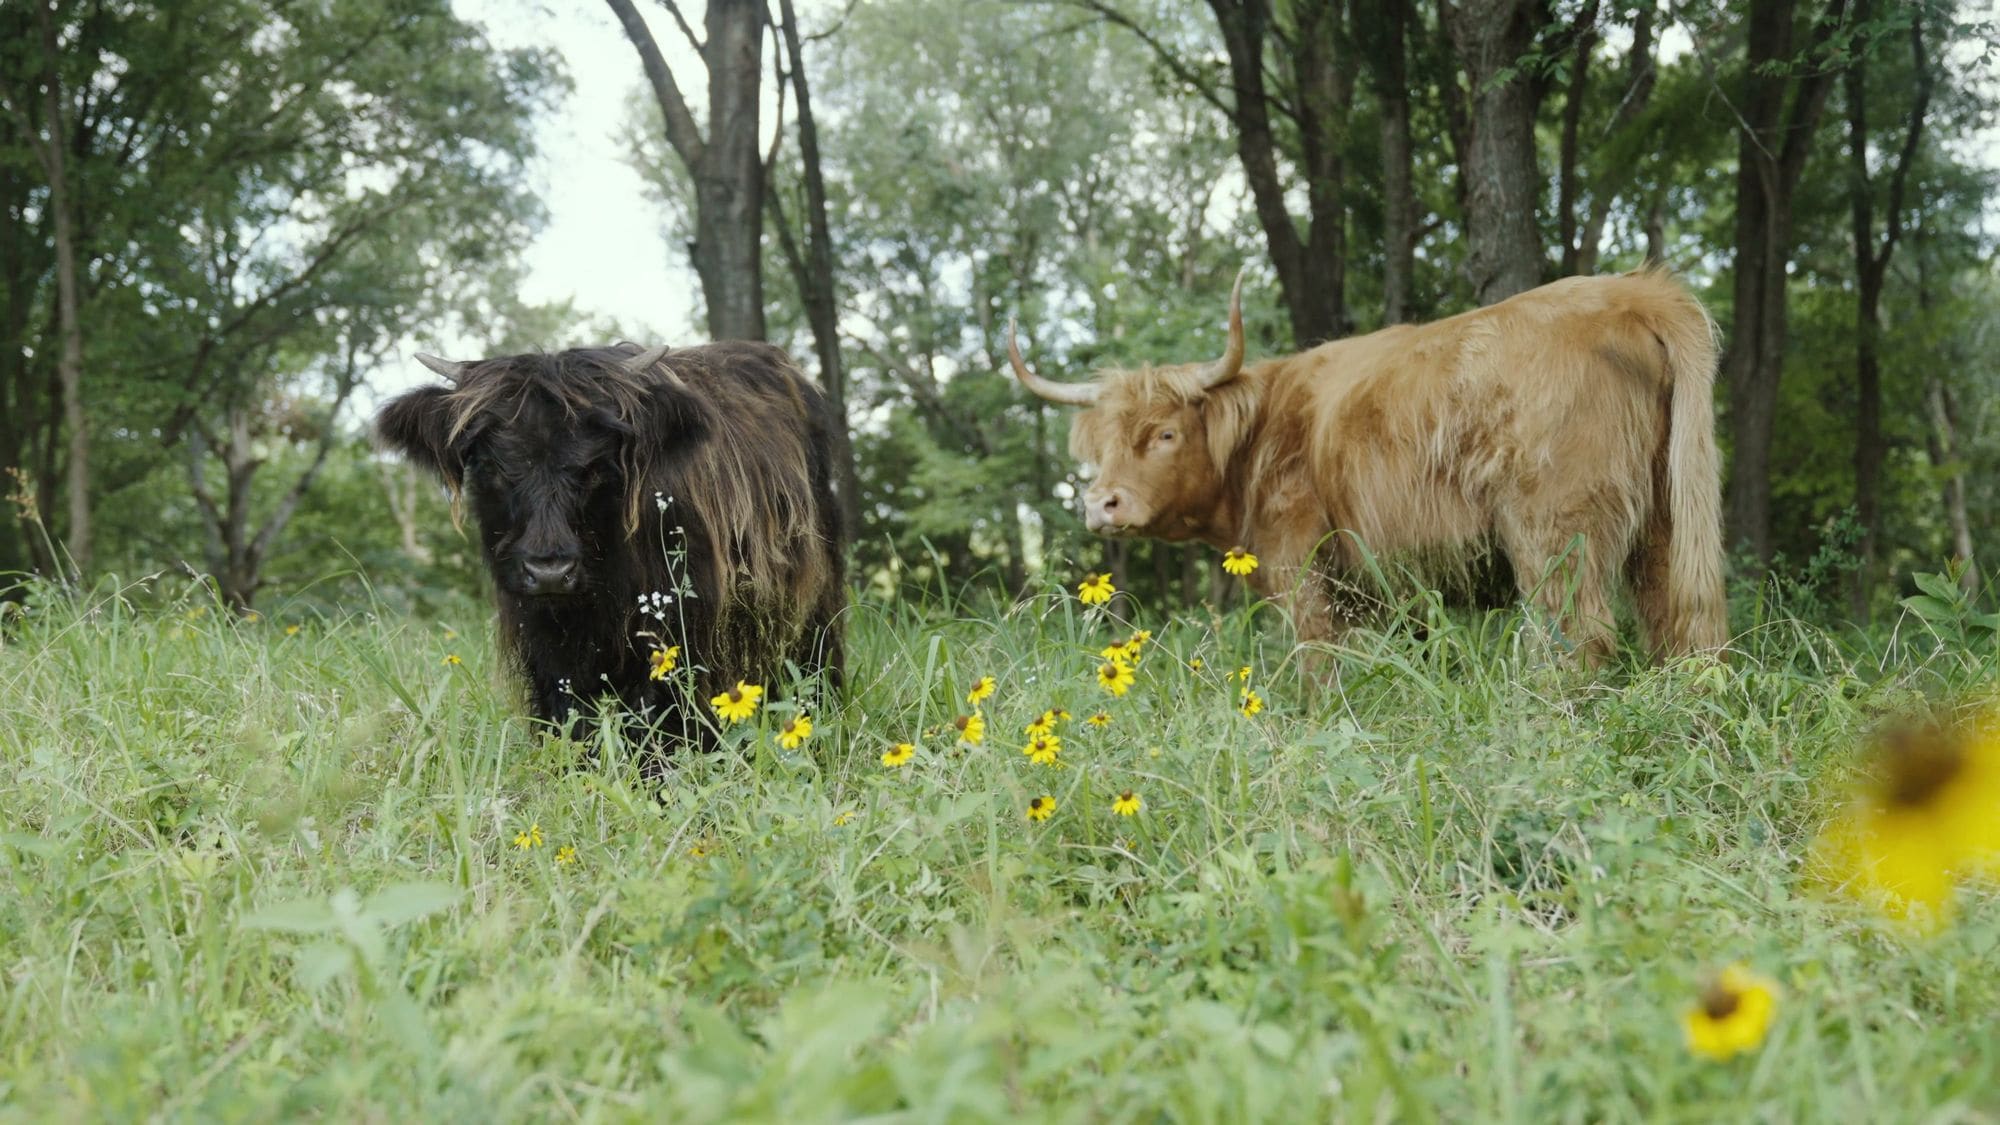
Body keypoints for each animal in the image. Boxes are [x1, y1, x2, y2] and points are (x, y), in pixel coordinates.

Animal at [376, 341, 848, 751]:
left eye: (597, 466)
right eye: (492, 466)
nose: (550, 572)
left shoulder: (677, 630)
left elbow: (658, 715)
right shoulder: (538, 636)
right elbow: (566, 713)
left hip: (816, 598)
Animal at [1007, 268, 1727, 665]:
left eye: (1163, 433)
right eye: (1099, 446)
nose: (1101, 504)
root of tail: (1633, 293)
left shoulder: (1301, 571)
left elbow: (1317, 665)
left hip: (1553, 526)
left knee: (1576, 637)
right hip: (1664, 519)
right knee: (1681, 623)